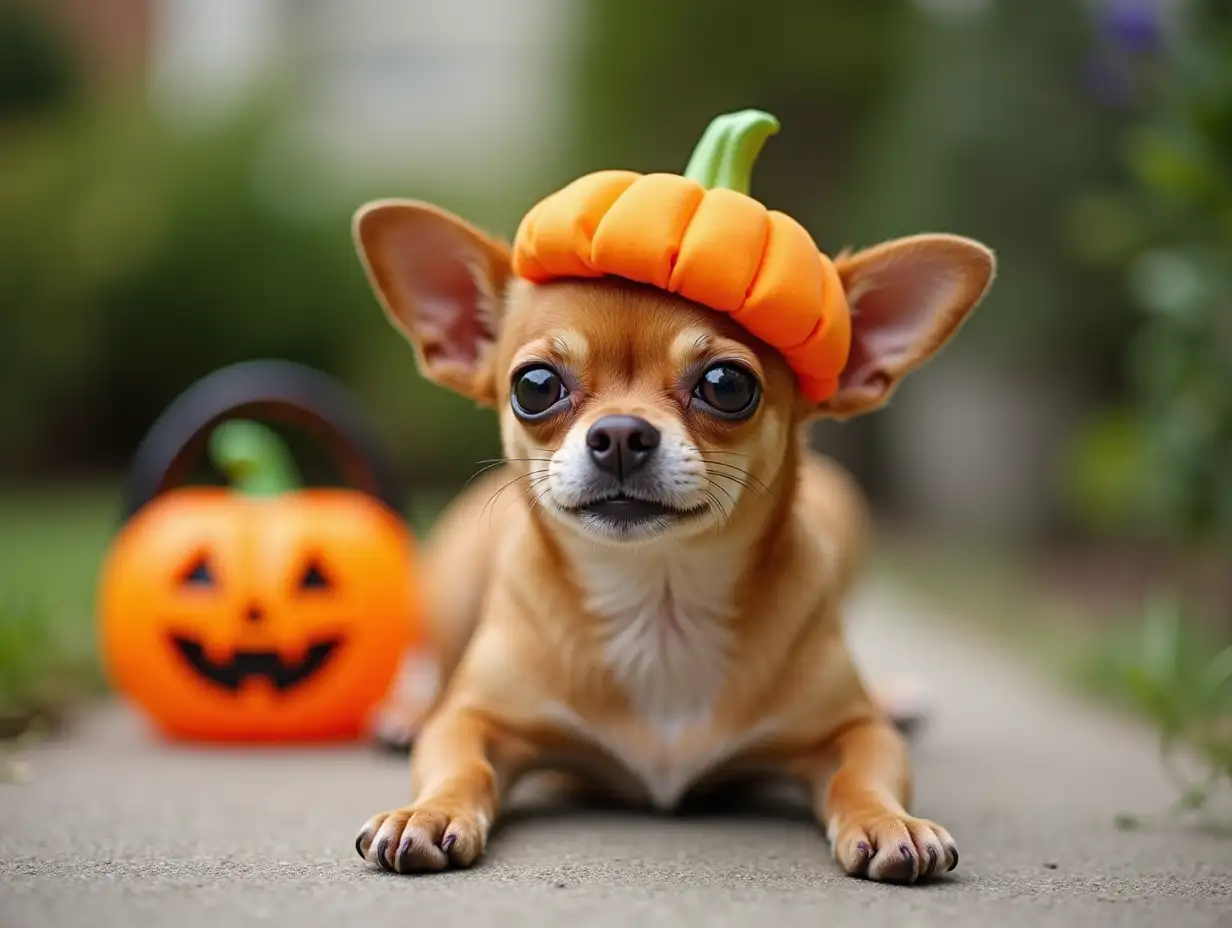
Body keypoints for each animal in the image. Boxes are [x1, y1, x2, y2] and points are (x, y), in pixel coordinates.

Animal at [352, 197, 995, 882]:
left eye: (727, 385)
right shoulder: (475, 720)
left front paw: (889, 820)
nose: (620, 434)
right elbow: (459, 762)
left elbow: (865, 771)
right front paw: (428, 811)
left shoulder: (854, 733)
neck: (659, 605)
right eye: (534, 386)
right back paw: (405, 715)